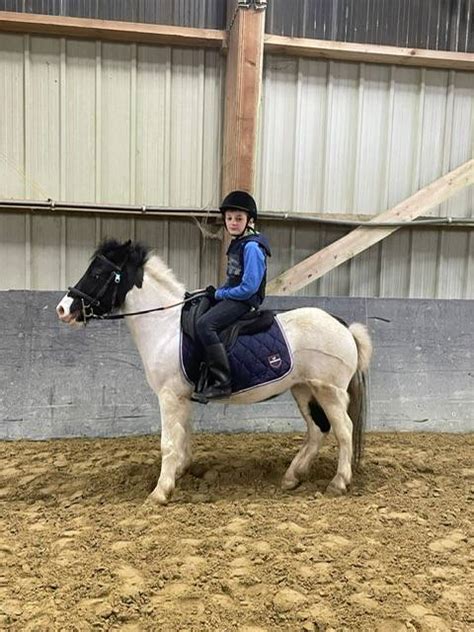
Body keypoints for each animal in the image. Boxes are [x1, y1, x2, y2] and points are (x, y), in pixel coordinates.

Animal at [57, 239, 372, 506]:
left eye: (98, 273)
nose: (63, 309)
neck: (165, 325)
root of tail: (344, 326)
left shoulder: (168, 396)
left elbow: (168, 443)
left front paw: (160, 492)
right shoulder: (181, 397)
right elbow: (183, 436)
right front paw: (179, 473)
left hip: (329, 392)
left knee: (344, 430)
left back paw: (338, 483)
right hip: (304, 389)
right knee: (317, 431)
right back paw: (292, 477)